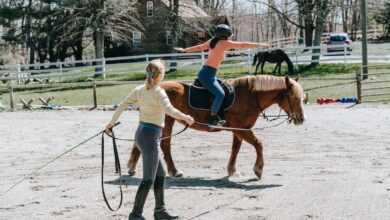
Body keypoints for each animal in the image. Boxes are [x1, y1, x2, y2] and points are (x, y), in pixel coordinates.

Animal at [127, 75, 304, 180]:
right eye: (294, 97)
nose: (301, 119)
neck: (249, 95)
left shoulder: (239, 130)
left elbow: (235, 149)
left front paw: (232, 170)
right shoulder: (242, 129)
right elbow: (258, 144)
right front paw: (258, 169)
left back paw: (133, 167)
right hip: (166, 120)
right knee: (164, 145)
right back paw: (174, 170)